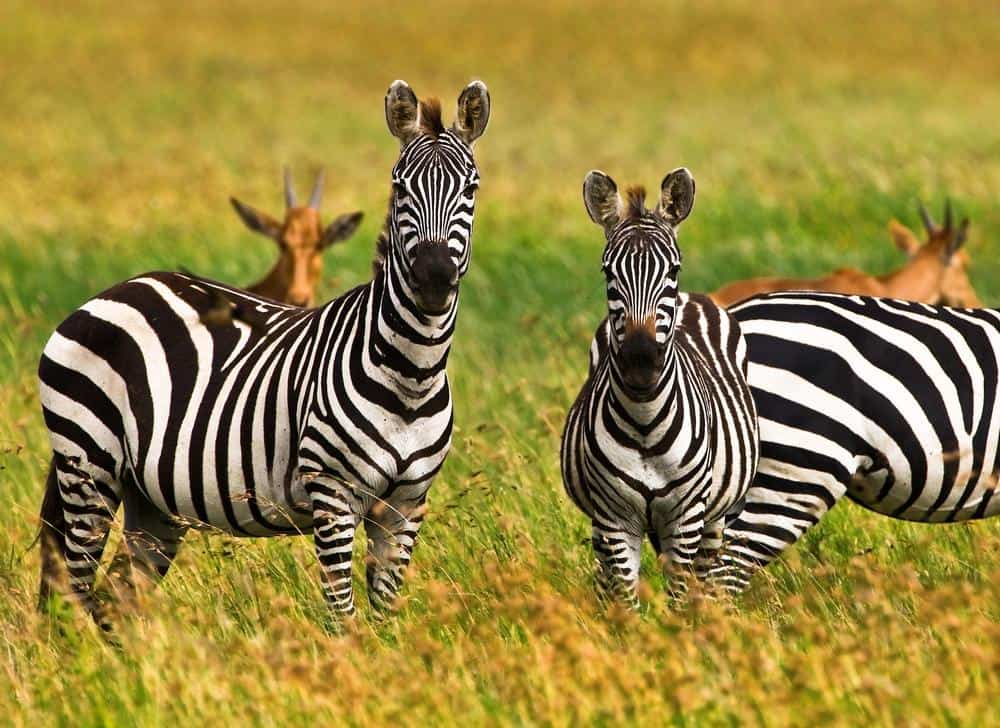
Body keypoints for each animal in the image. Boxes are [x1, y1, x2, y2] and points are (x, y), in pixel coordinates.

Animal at [36, 79, 490, 622]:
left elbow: (383, 617)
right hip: (87, 463)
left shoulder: (405, 504)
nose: (434, 278)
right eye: (400, 188)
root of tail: (118, 288)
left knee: (118, 598)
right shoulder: (332, 492)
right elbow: (343, 615)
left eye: (471, 189)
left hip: (149, 498)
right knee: (74, 590)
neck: (411, 373)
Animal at [560, 169, 759, 605]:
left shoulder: (684, 519)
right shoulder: (615, 519)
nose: (639, 363)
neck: (645, 421)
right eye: (608, 273)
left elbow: (680, 596)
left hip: (712, 515)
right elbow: (626, 598)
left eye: (672, 270)